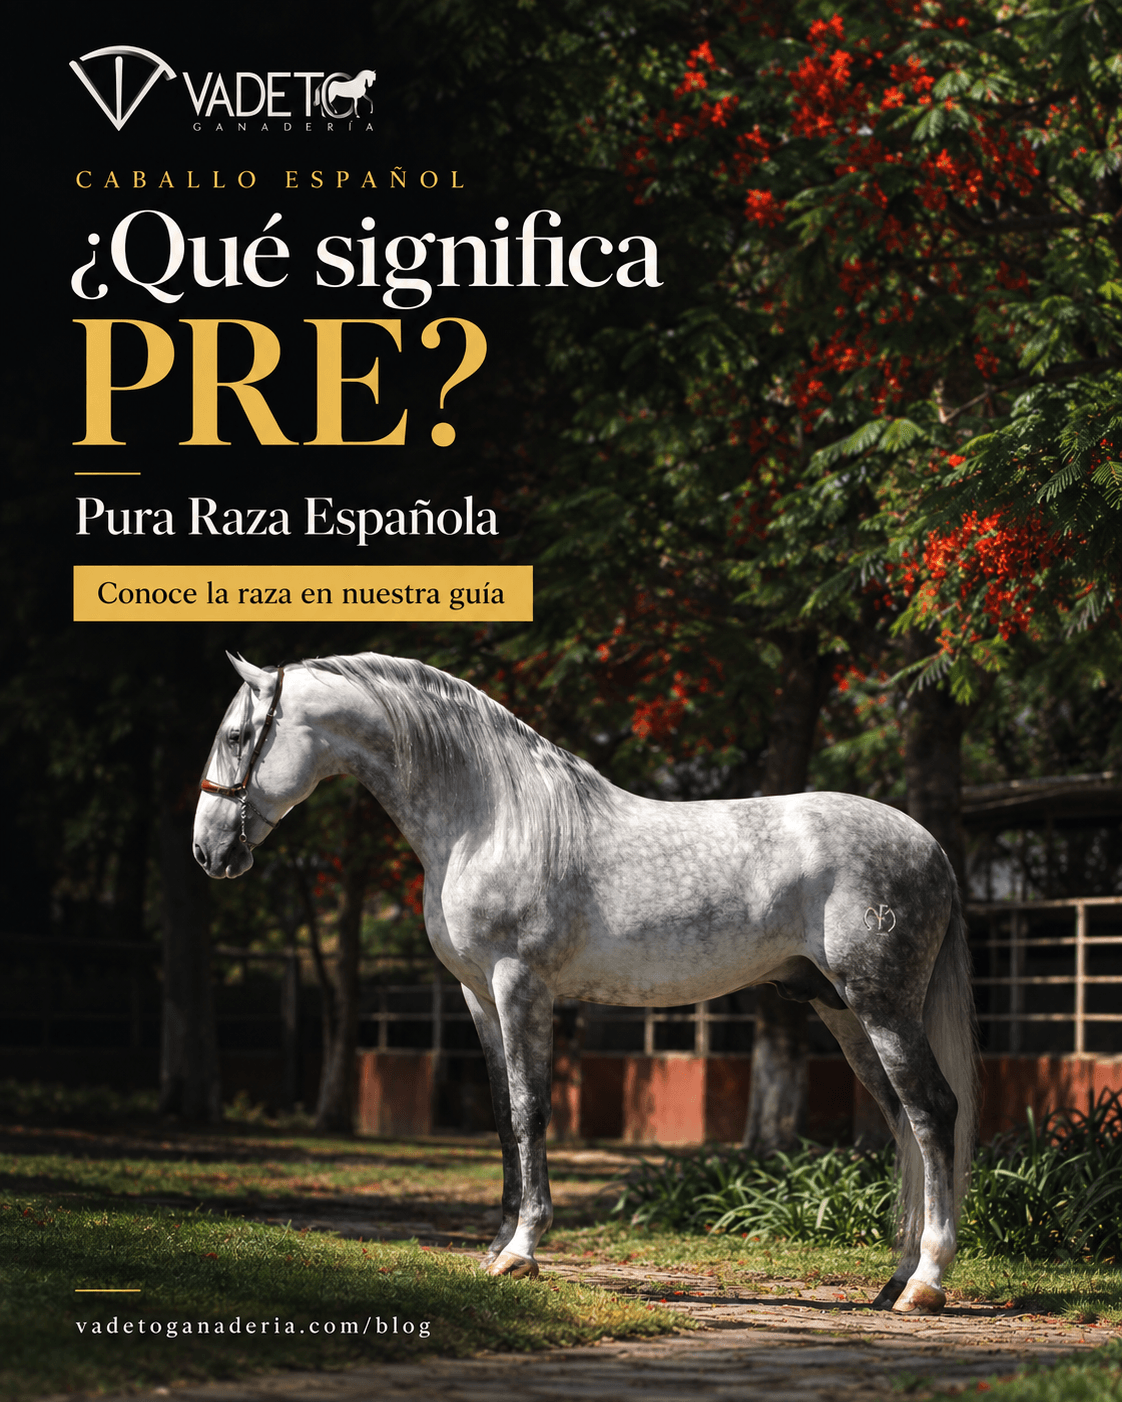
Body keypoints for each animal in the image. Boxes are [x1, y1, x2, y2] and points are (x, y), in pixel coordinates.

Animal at [193, 651, 978, 1315]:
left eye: (235, 735)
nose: (207, 852)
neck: (490, 819)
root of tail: (930, 845)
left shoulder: (521, 985)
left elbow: (531, 1108)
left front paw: (522, 1250)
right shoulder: (479, 997)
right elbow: (501, 1114)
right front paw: (496, 1246)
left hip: (882, 1006)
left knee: (933, 1112)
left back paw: (927, 1283)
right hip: (842, 1010)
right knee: (900, 1119)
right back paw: (896, 1278)